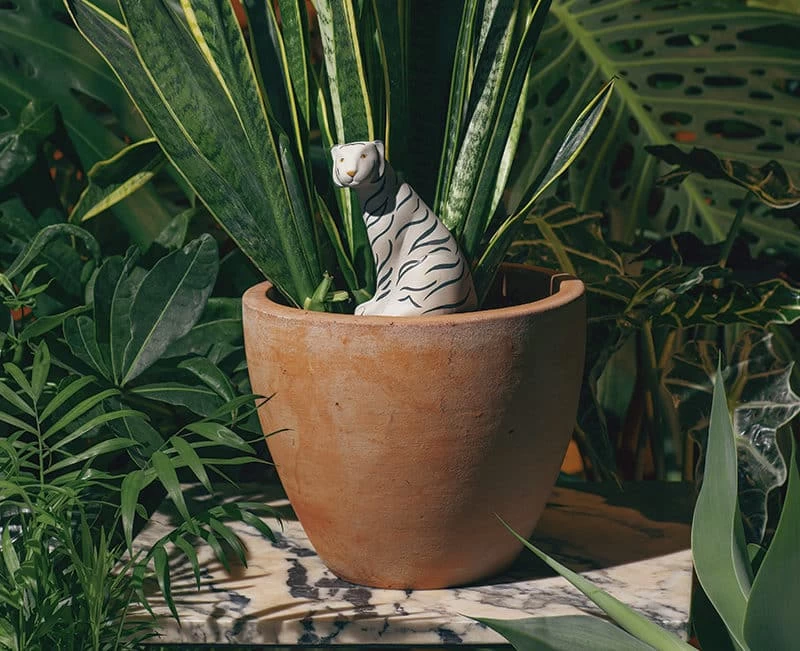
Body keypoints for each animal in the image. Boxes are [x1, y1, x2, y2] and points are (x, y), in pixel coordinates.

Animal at [331, 140, 477, 317]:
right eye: (342, 159)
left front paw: (371, 308)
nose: (351, 172)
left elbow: (385, 281)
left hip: (423, 271)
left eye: (364, 156)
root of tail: (472, 298)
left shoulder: (388, 246)